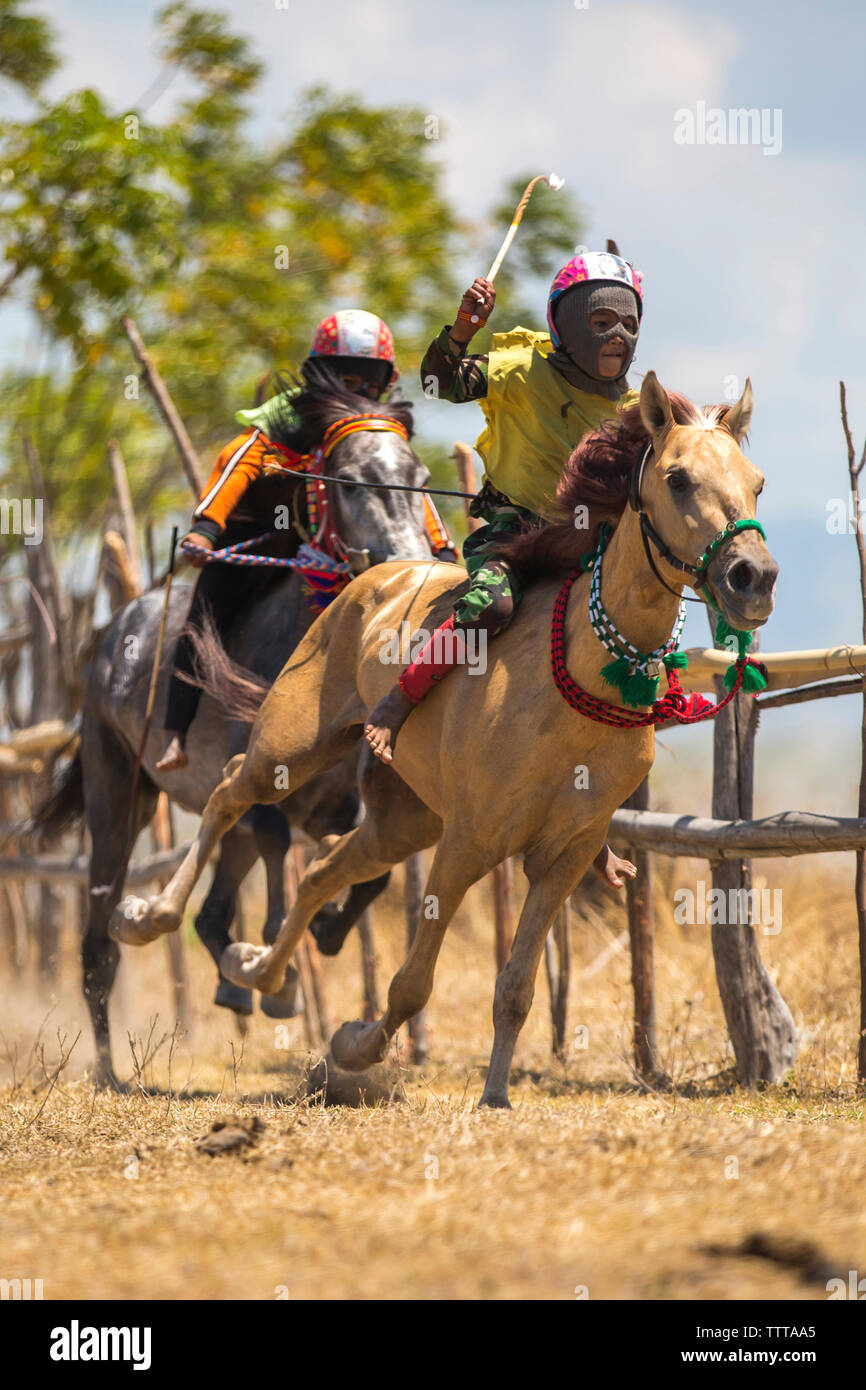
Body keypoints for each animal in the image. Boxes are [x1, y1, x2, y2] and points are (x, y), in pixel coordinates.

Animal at [36, 375, 436, 1089]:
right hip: (118, 794)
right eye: (352, 481)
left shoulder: (341, 800)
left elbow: (369, 877)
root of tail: (112, 630)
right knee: (98, 940)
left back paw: (230, 971)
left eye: (418, 477)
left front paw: (318, 932)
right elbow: (279, 845)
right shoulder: (264, 771)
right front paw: (277, 967)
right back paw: (112, 1064)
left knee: (214, 907)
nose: (413, 568)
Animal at [111, 369, 778, 1106]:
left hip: (401, 820)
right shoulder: (467, 844)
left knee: (321, 870)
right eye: (679, 478)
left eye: (756, 482)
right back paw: (148, 916)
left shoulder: (563, 857)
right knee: (231, 792)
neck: (580, 679)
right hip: (291, 749)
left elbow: (515, 987)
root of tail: (363, 576)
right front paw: (359, 1044)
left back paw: (258, 969)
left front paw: (492, 1093)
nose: (753, 577)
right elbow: (411, 984)